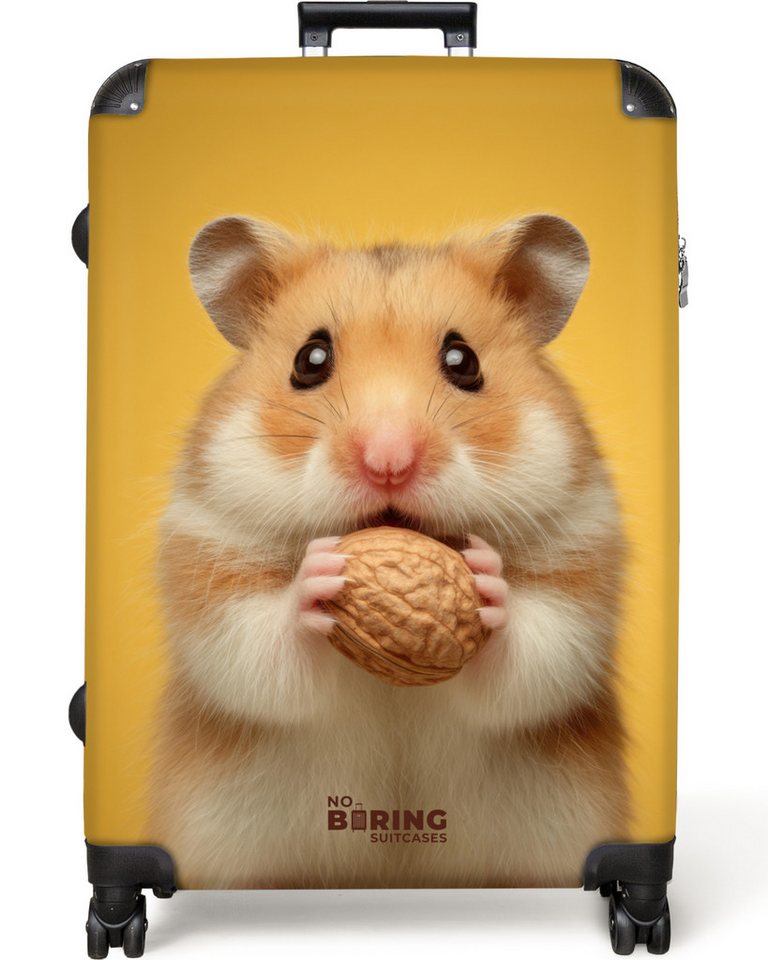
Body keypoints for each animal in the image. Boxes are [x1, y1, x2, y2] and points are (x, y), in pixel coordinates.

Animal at [147, 213, 628, 889]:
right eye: (309, 359)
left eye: (463, 360)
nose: (389, 462)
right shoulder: (208, 559)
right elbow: (258, 653)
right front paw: (318, 575)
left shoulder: (581, 558)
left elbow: (536, 658)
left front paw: (486, 580)